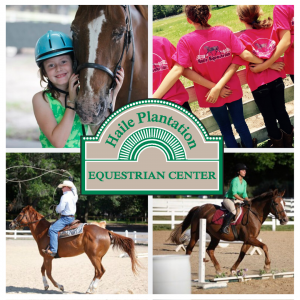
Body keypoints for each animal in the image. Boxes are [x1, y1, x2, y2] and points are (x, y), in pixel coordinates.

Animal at [9, 206, 139, 292]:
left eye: (20, 214)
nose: (11, 224)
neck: (44, 232)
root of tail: (106, 231)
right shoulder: (46, 257)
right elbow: (42, 270)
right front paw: (45, 285)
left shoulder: (48, 257)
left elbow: (49, 273)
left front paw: (60, 286)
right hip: (98, 257)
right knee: (97, 272)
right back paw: (89, 288)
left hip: (93, 256)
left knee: (100, 271)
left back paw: (92, 288)